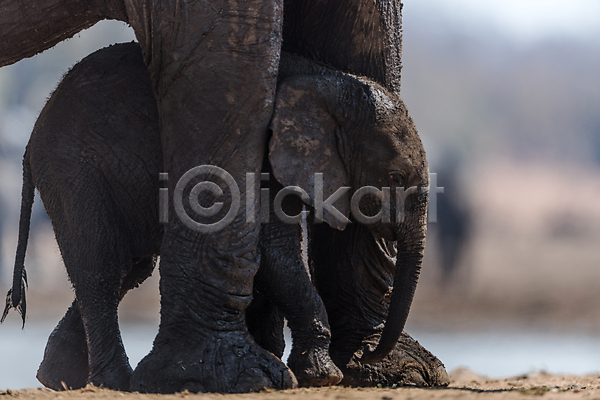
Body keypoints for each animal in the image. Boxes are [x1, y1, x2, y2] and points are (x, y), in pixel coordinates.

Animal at [0, 0, 447, 393]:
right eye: (395, 176)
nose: (370, 356)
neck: (322, 80)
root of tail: (30, 142)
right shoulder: (266, 158)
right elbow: (275, 254)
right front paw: (316, 375)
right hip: (72, 167)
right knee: (102, 268)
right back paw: (113, 381)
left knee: (131, 266)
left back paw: (61, 378)